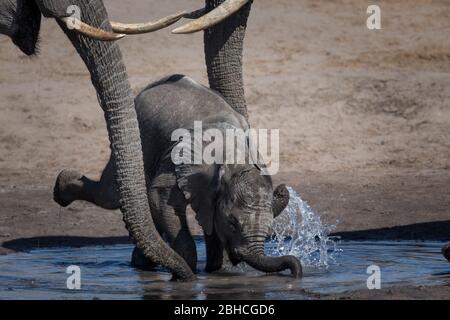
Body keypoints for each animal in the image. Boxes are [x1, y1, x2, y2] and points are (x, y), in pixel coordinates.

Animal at [53, 74, 302, 276]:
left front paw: (215, 271)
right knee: (111, 195)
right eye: (233, 224)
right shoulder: (179, 159)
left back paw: (141, 263)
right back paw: (60, 189)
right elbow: (163, 200)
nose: (296, 271)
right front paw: (189, 274)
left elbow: (208, 220)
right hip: (141, 137)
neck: (234, 160)